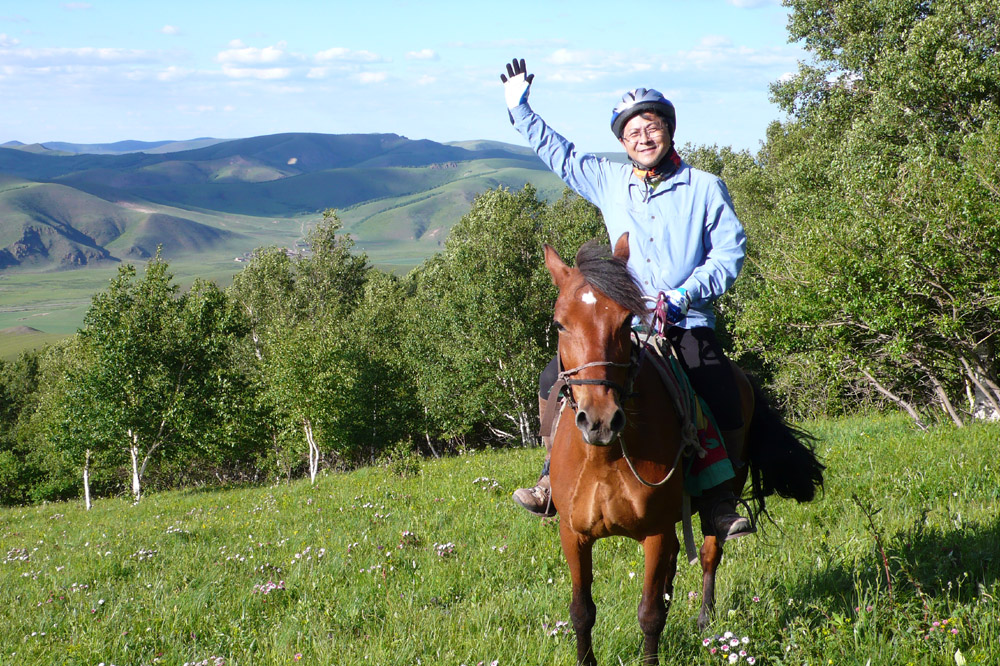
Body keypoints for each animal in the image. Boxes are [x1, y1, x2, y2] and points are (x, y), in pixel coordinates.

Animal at [543, 233, 824, 665]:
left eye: (625, 321)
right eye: (560, 323)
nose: (601, 420)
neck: (605, 459)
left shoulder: (655, 533)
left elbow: (649, 615)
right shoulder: (573, 535)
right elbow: (582, 612)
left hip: (717, 502)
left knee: (709, 553)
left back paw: (705, 620)